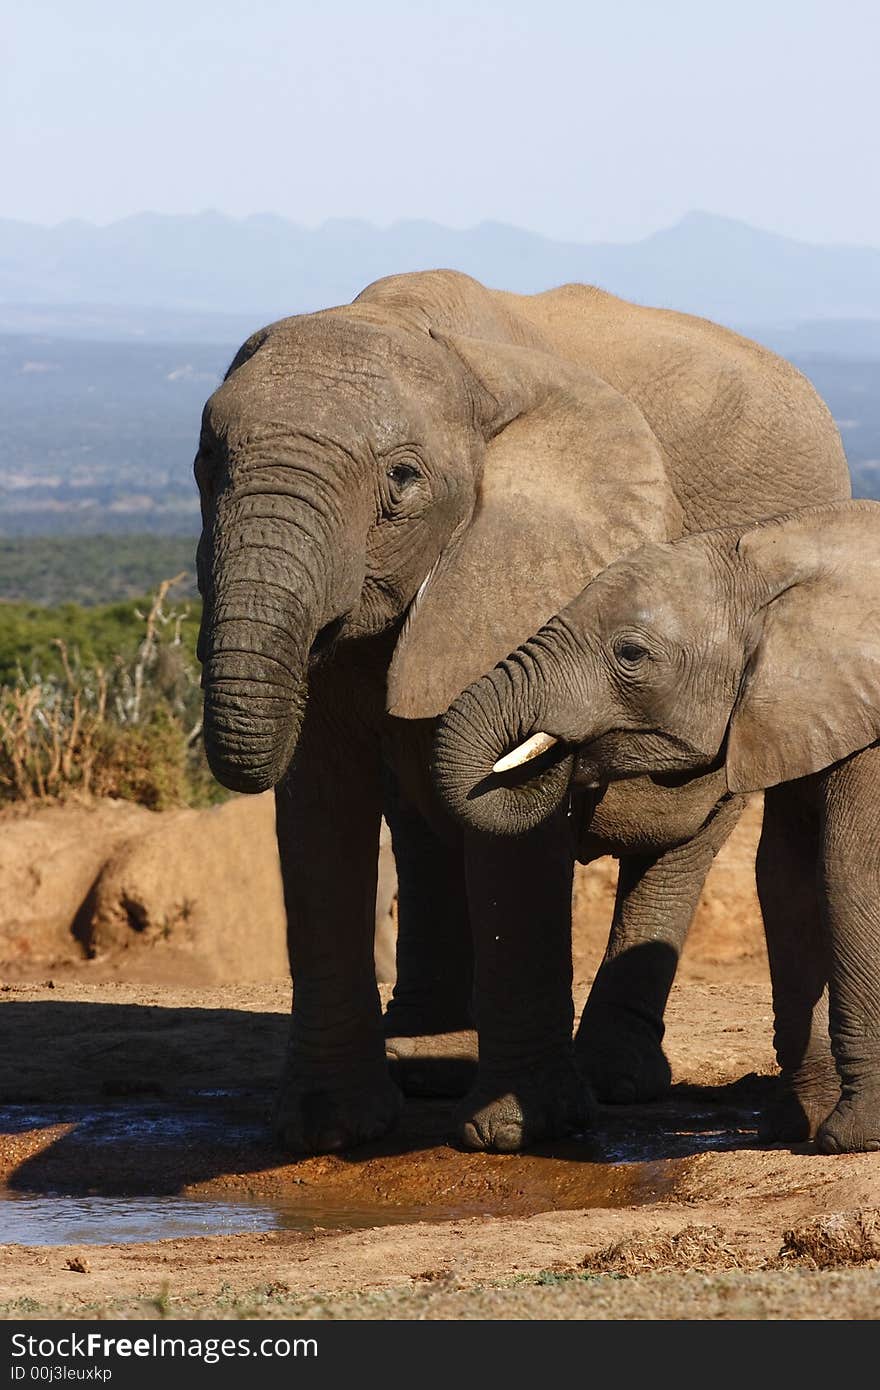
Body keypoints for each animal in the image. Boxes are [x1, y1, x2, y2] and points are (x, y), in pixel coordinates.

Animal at [436, 500, 878, 1150]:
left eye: (631, 654)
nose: (563, 753)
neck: (776, 554)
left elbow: (851, 871)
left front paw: (851, 1138)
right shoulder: (798, 708)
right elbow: (784, 880)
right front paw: (798, 1124)